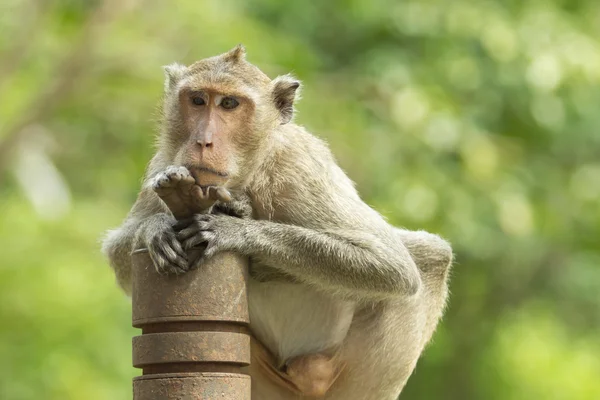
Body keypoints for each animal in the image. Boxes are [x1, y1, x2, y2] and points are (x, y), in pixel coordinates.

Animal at [102, 45, 450, 398]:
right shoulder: (163, 162)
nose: (203, 141)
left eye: (229, 104)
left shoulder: (299, 168)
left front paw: (235, 230)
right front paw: (157, 228)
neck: (247, 175)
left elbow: (390, 265)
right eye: (198, 100)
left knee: (430, 256)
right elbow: (118, 256)